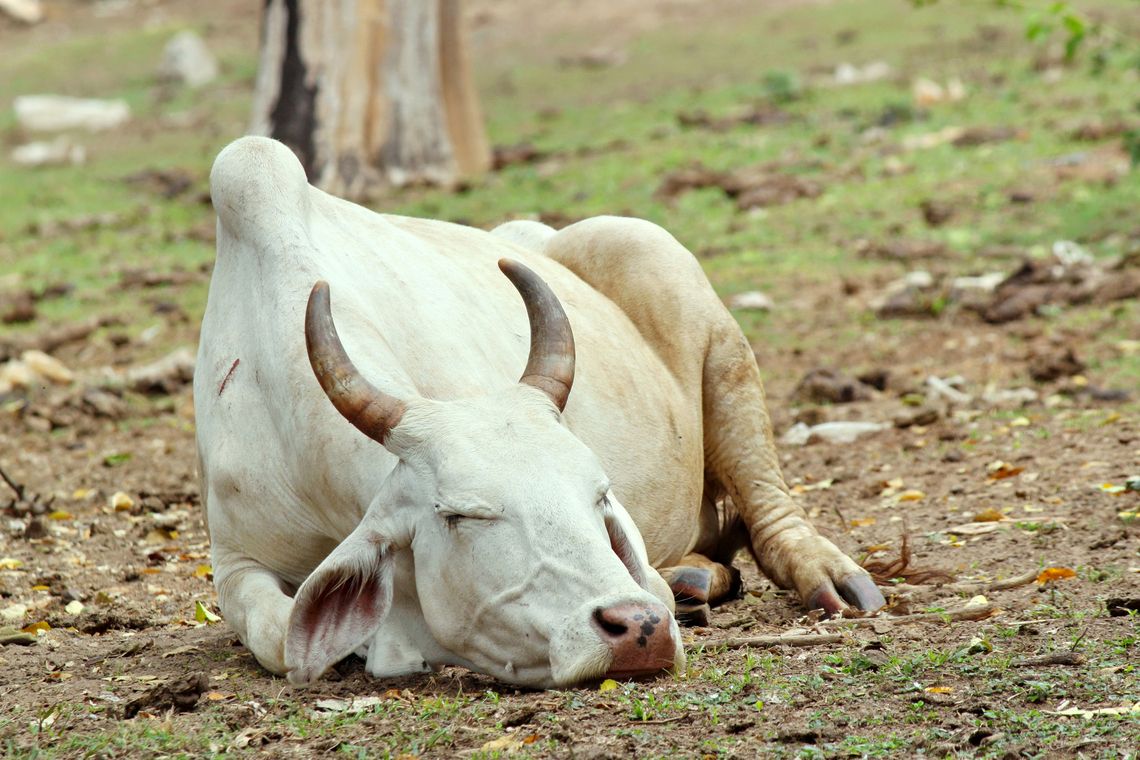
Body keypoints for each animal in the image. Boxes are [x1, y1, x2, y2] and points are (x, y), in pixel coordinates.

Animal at [195, 136, 884, 689]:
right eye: (461, 515)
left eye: (600, 496)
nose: (639, 629)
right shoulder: (234, 562)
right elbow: (281, 635)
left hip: (690, 303)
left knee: (766, 498)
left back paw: (822, 575)